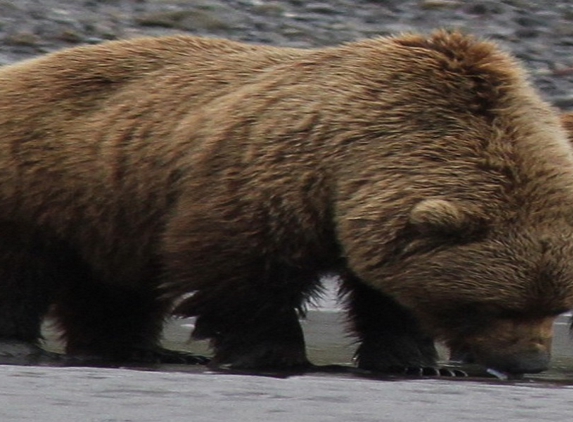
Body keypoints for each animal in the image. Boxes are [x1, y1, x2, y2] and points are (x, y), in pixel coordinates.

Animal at [0, 30, 572, 376]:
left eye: (555, 305)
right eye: (491, 304)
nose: (529, 363)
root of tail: (21, 68)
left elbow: (387, 296)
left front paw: (419, 361)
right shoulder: (280, 178)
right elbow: (243, 269)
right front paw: (276, 354)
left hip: (110, 205)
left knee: (115, 283)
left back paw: (138, 346)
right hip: (44, 179)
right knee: (23, 265)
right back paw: (21, 342)